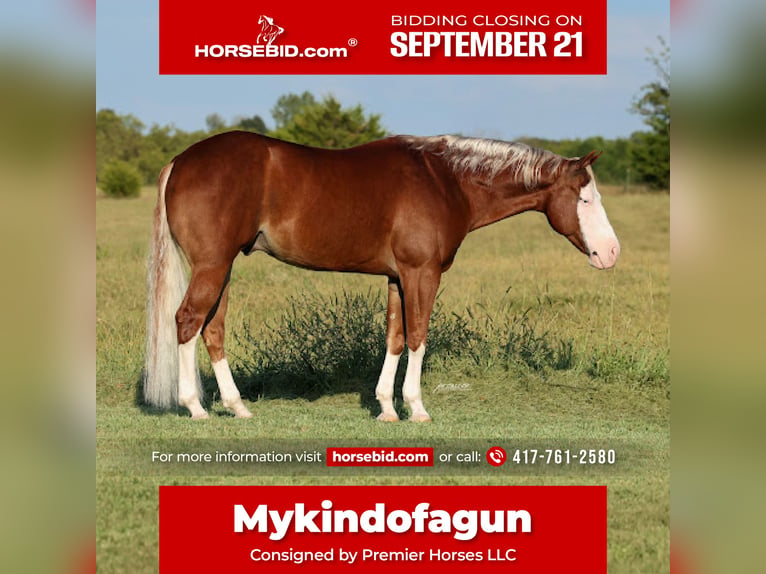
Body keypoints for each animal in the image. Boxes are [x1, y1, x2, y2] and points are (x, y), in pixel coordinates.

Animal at [144, 132, 620, 421]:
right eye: (585, 198)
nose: (611, 253)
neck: (446, 180)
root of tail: (180, 161)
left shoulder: (397, 277)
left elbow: (394, 337)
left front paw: (387, 408)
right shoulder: (422, 273)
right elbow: (418, 336)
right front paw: (416, 408)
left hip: (223, 267)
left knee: (212, 329)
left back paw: (237, 406)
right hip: (213, 265)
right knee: (187, 321)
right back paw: (195, 407)